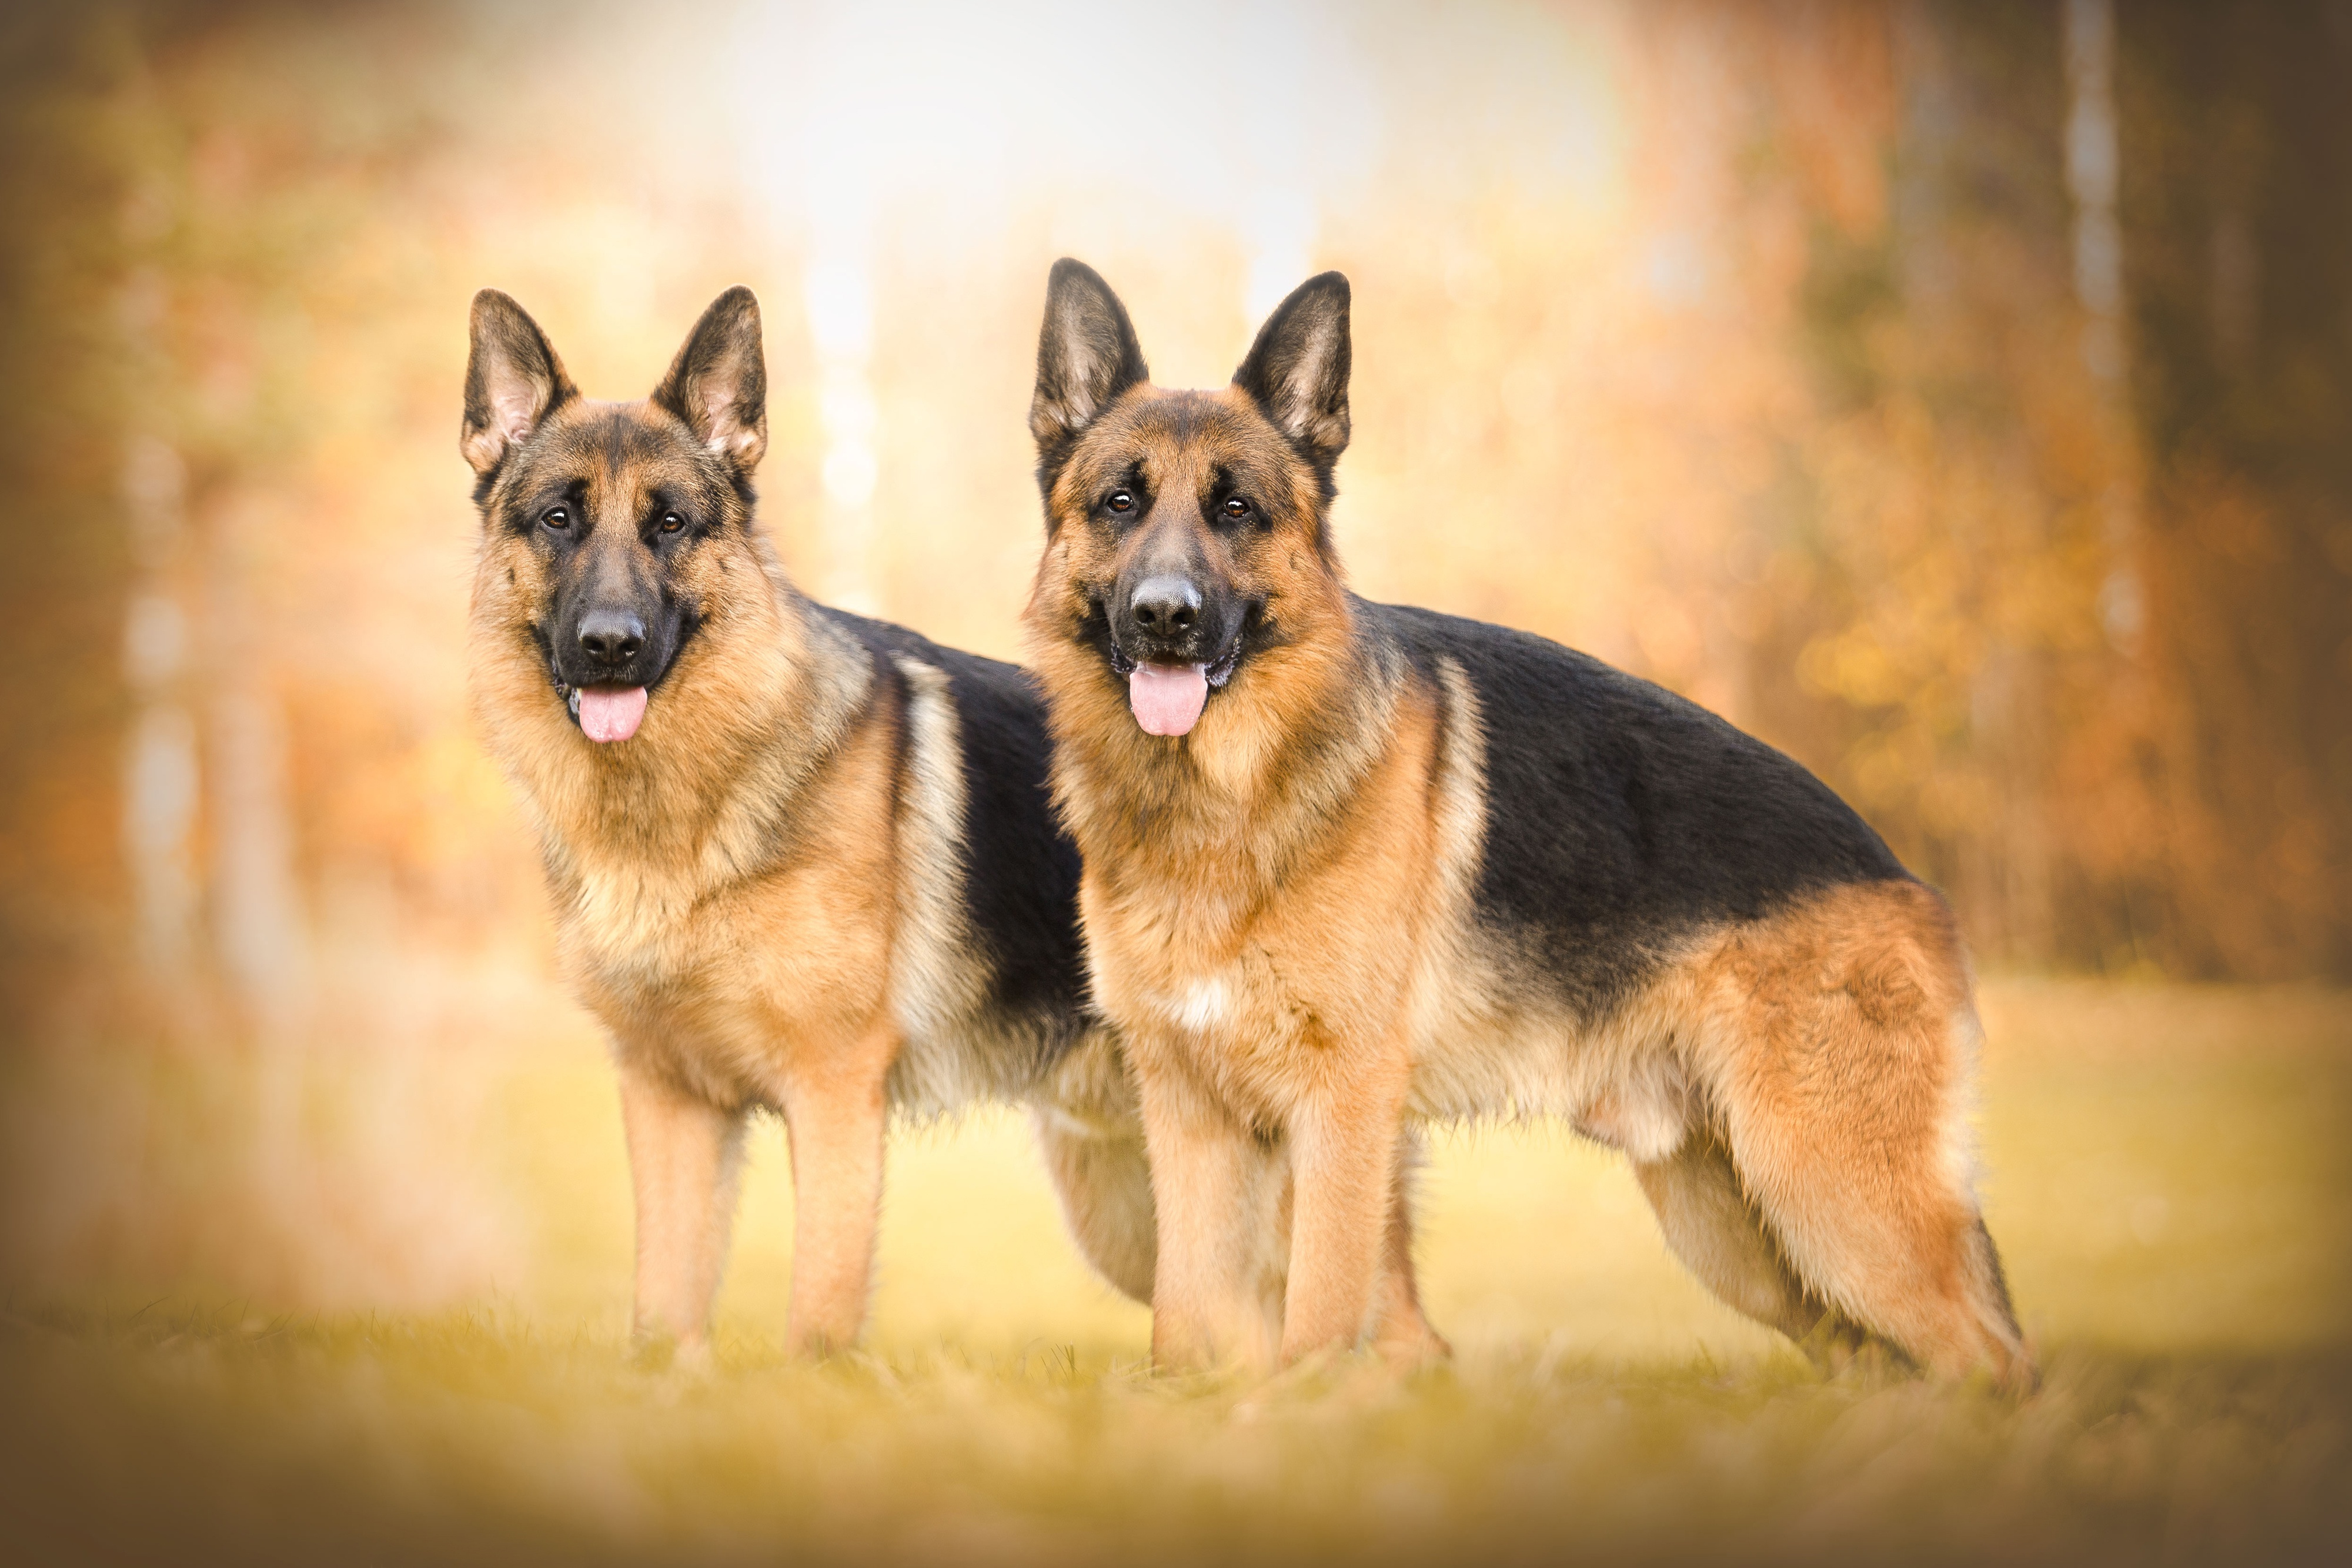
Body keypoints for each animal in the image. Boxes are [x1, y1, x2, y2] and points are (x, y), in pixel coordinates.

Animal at [454, 285, 1152, 1363]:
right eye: (558, 518)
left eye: (669, 523)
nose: (610, 646)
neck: (686, 812)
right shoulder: (672, 1103)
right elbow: (661, 1309)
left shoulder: (831, 1097)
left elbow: (820, 1310)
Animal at [1021, 263, 2032, 1392]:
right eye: (1120, 502)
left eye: (1236, 508)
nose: (1166, 617)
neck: (1227, 799)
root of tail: (1901, 875)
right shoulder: (1190, 1121)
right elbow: (1184, 1330)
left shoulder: (1342, 1113)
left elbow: (1320, 1314)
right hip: (1743, 1234)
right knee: (1884, 1361)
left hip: (1836, 1201)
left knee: (1995, 1363)